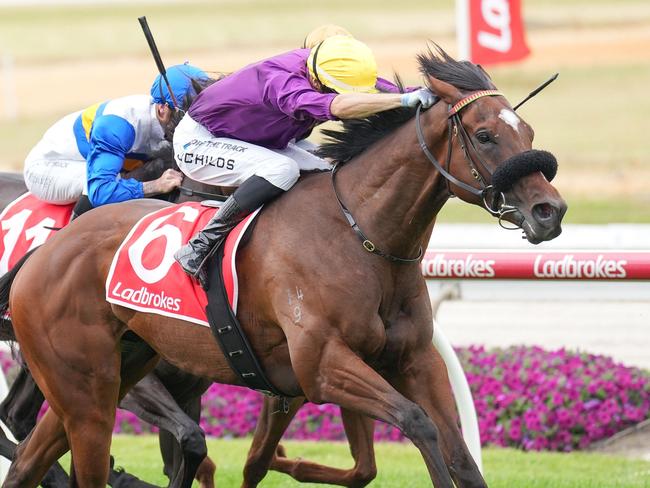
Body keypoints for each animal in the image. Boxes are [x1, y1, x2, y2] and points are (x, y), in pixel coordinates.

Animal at [1, 47, 560, 486]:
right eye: (484, 136)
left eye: (529, 129)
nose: (549, 211)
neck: (361, 236)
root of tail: (45, 252)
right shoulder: (322, 366)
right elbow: (417, 423)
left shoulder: (414, 360)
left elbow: (459, 455)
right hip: (88, 392)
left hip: (110, 373)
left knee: (27, 458)